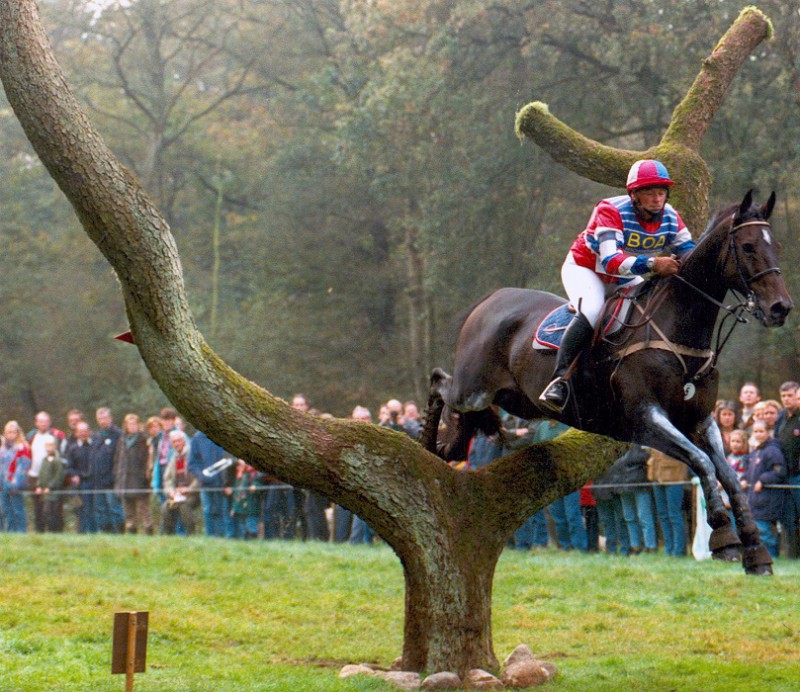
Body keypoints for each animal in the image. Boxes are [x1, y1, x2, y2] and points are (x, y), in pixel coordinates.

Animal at [424, 189, 792, 572]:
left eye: (777, 245)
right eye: (748, 246)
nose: (780, 308)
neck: (677, 328)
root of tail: (490, 299)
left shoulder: (700, 420)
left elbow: (729, 476)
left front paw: (755, 550)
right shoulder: (646, 418)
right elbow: (702, 462)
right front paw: (724, 535)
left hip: (514, 400)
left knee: (462, 427)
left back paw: (442, 447)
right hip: (473, 390)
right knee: (439, 382)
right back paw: (425, 440)